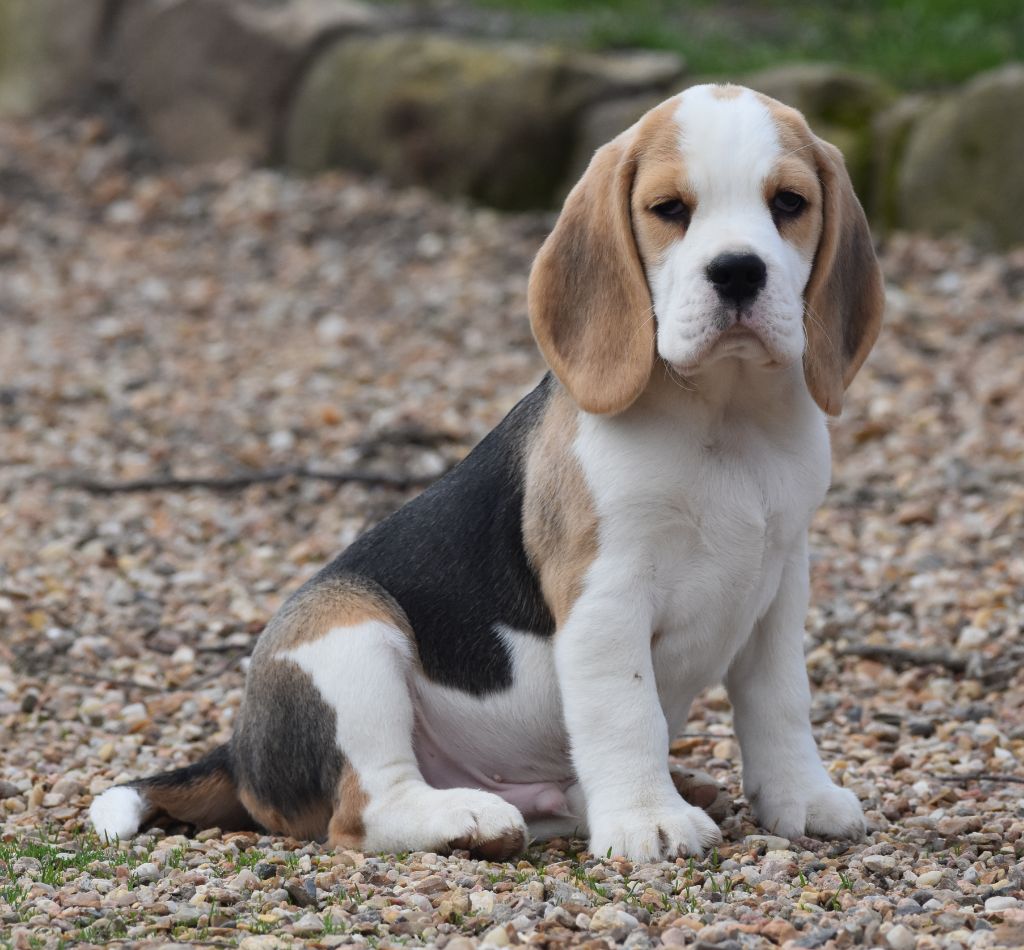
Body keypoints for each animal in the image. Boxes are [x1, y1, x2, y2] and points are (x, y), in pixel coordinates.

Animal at [92, 85, 884, 864]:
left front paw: (801, 799)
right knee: (363, 811)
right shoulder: (606, 596)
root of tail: (237, 753)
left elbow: (780, 702)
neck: (726, 413)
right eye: (668, 210)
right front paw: (649, 821)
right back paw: (466, 818)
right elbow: (627, 710)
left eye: (789, 203)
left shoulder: (779, 584)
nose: (739, 271)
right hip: (349, 637)